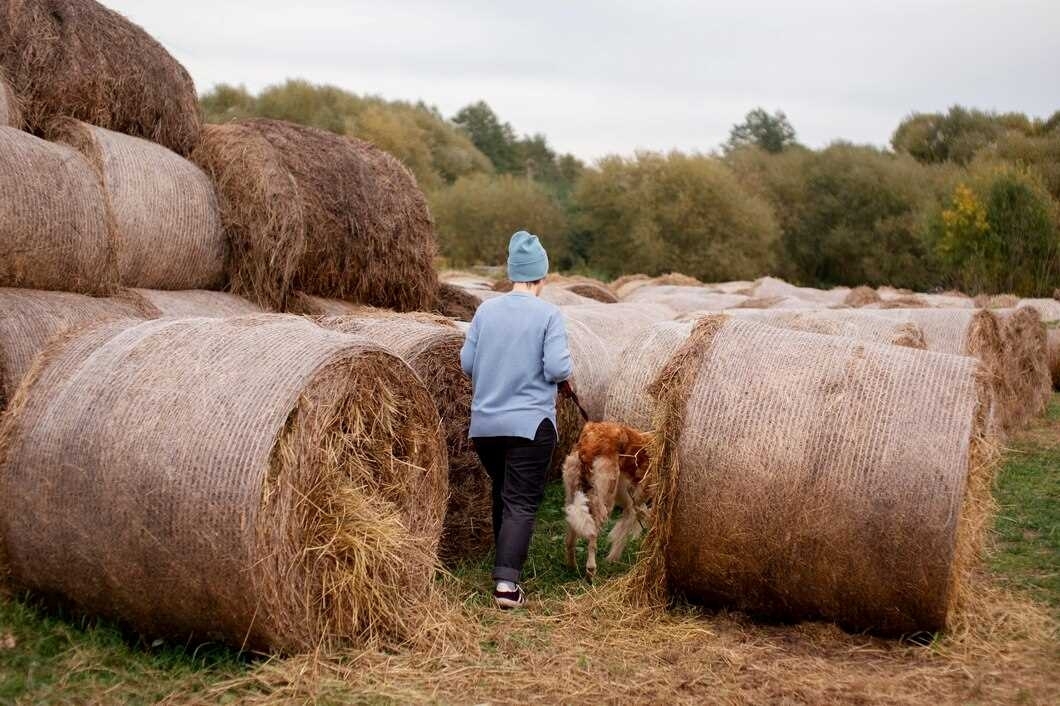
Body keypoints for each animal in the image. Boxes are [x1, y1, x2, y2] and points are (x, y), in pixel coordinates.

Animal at [563, 419, 652, 576]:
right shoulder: (638, 501)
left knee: (570, 538)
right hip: (605, 501)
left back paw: (572, 566)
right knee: (592, 535)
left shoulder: (633, 503)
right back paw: (591, 570)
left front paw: (612, 558)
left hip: (572, 495)